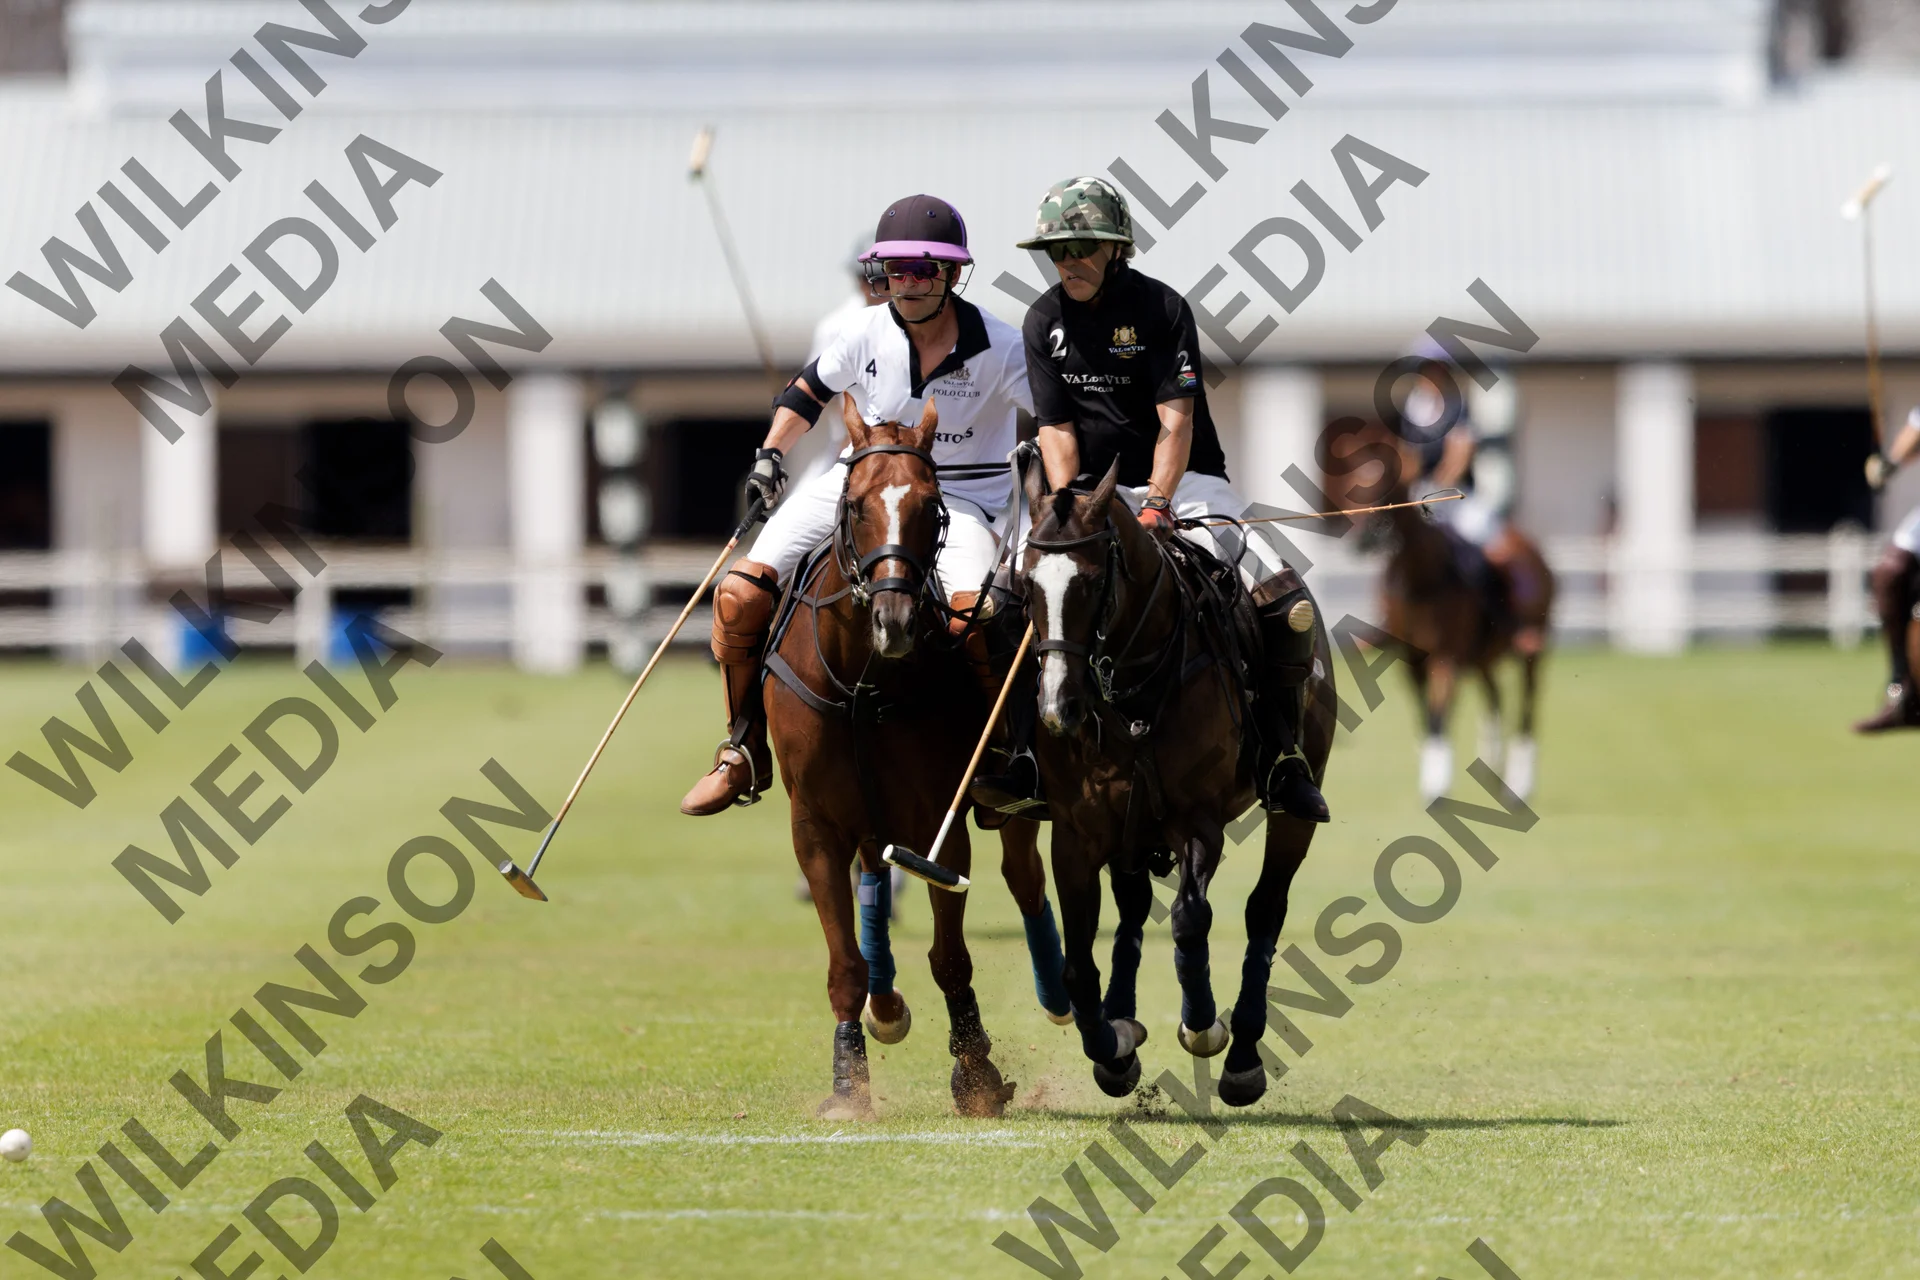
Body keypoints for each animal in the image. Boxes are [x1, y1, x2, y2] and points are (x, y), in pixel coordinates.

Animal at [762, 398, 1070, 1120]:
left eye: (932, 506)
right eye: (855, 506)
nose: (895, 622)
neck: (862, 681)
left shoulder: (938, 819)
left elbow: (950, 955)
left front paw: (976, 1072)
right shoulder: (813, 823)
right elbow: (844, 961)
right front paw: (849, 1081)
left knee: (1024, 876)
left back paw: (1059, 994)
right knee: (876, 877)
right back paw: (885, 1006)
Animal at [1018, 461, 1337, 1106]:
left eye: (1092, 583)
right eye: (1028, 583)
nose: (1059, 709)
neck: (1130, 688)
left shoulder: (1197, 820)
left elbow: (1192, 919)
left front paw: (1203, 1026)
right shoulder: (1076, 833)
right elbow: (1077, 965)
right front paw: (1111, 1050)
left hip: (1292, 802)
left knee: (1265, 908)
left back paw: (1243, 1057)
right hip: (1132, 828)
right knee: (1134, 905)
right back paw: (1122, 1019)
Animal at [1368, 429, 1555, 802]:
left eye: (1390, 483)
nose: (1366, 536)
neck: (1422, 580)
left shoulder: (1446, 657)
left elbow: (1438, 716)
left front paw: (1437, 787)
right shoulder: (1412, 660)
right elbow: (1426, 715)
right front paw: (1433, 774)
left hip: (1531, 650)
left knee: (1526, 710)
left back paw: (1518, 785)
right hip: (1483, 657)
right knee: (1495, 694)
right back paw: (1493, 767)